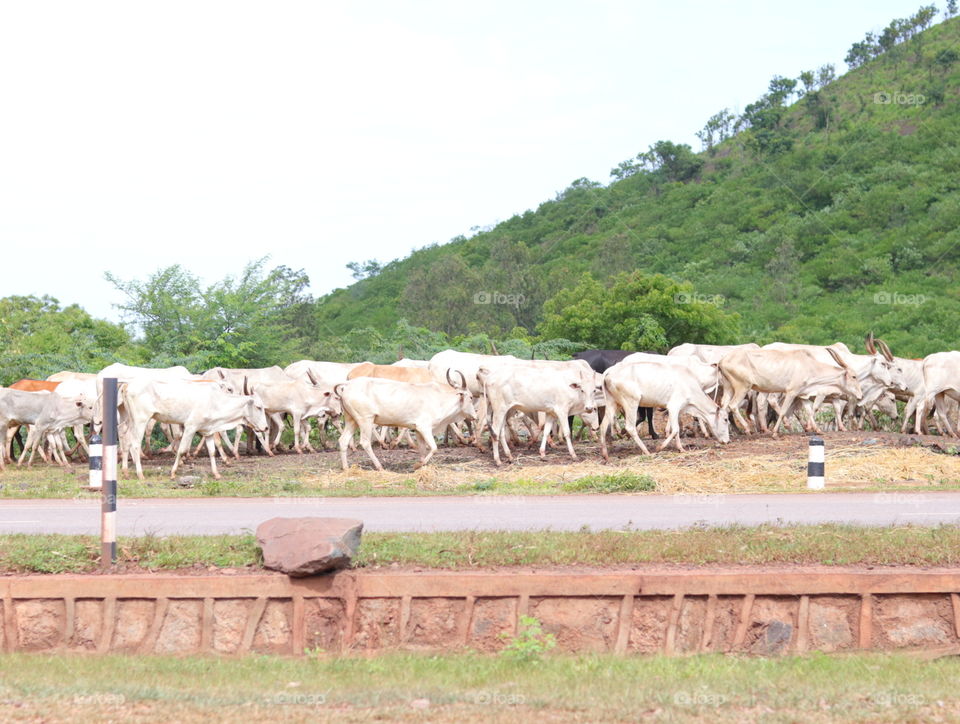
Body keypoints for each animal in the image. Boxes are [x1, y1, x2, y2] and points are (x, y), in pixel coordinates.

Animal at [338, 370, 476, 471]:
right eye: (470, 397)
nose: (475, 416)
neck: (439, 399)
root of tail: (348, 385)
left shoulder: (418, 431)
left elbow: (422, 450)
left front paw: (421, 465)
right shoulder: (424, 428)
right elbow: (434, 448)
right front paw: (417, 465)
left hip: (351, 420)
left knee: (343, 440)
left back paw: (346, 468)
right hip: (365, 420)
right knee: (365, 442)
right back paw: (379, 466)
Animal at [600, 360, 730, 459]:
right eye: (725, 419)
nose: (727, 441)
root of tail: (610, 371)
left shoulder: (678, 409)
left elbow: (676, 429)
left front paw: (681, 448)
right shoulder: (673, 406)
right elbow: (675, 429)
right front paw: (660, 447)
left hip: (612, 403)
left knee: (603, 426)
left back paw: (605, 454)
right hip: (631, 402)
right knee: (630, 428)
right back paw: (646, 451)